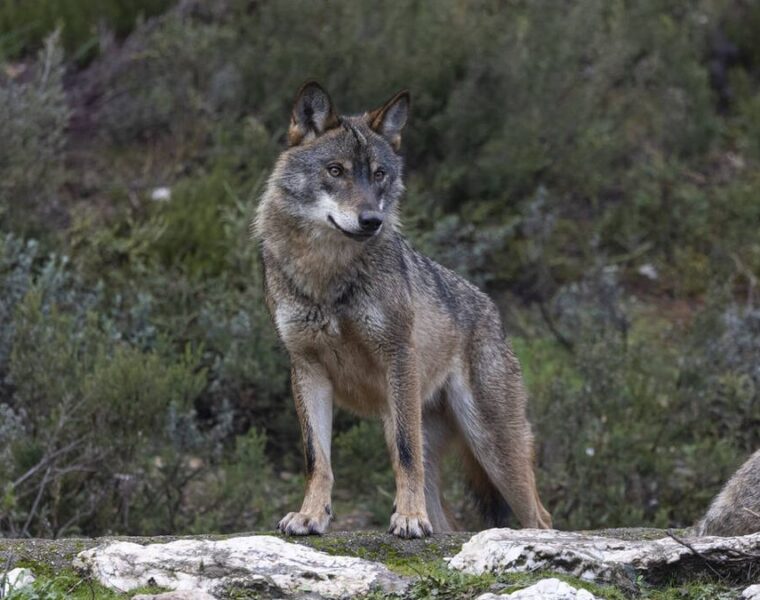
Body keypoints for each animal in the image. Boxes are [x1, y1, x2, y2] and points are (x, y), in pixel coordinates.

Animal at [255, 81, 552, 540]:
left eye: (379, 174)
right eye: (336, 171)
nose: (371, 220)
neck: (326, 275)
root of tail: (492, 310)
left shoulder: (397, 356)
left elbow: (405, 454)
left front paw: (409, 518)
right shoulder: (306, 368)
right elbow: (316, 458)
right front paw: (311, 515)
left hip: (493, 448)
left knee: (541, 517)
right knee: (448, 522)